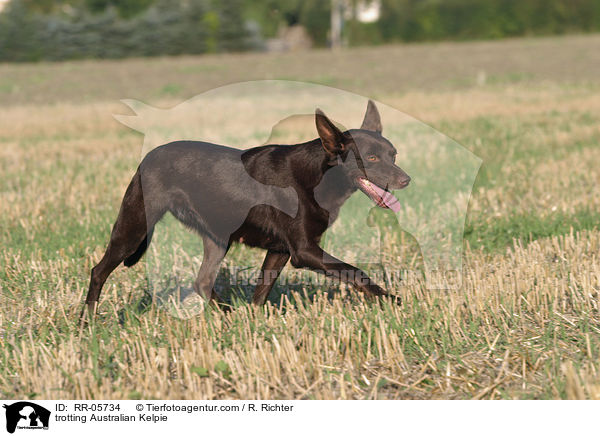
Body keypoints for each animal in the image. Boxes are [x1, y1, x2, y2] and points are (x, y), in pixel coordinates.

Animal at [82, 100, 410, 318]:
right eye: (371, 158)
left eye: (393, 155)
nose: (406, 180)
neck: (319, 176)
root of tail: (146, 158)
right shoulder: (304, 250)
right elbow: (355, 272)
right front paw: (392, 299)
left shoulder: (280, 250)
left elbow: (262, 290)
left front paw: (252, 321)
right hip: (134, 226)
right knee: (99, 270)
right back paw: (87, 322)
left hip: (217, 237)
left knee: (202, 281)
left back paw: (228, 313)